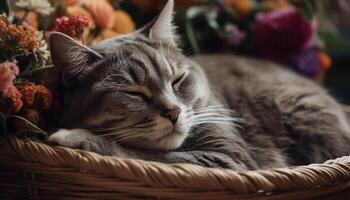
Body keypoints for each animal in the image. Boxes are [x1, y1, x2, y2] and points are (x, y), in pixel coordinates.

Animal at [47, 0, 350, 170]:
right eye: (134, 93)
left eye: (177, 80)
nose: (173, 112)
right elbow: (147, 152)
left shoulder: (229, 158)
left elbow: (142, 153)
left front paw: (77, 137)